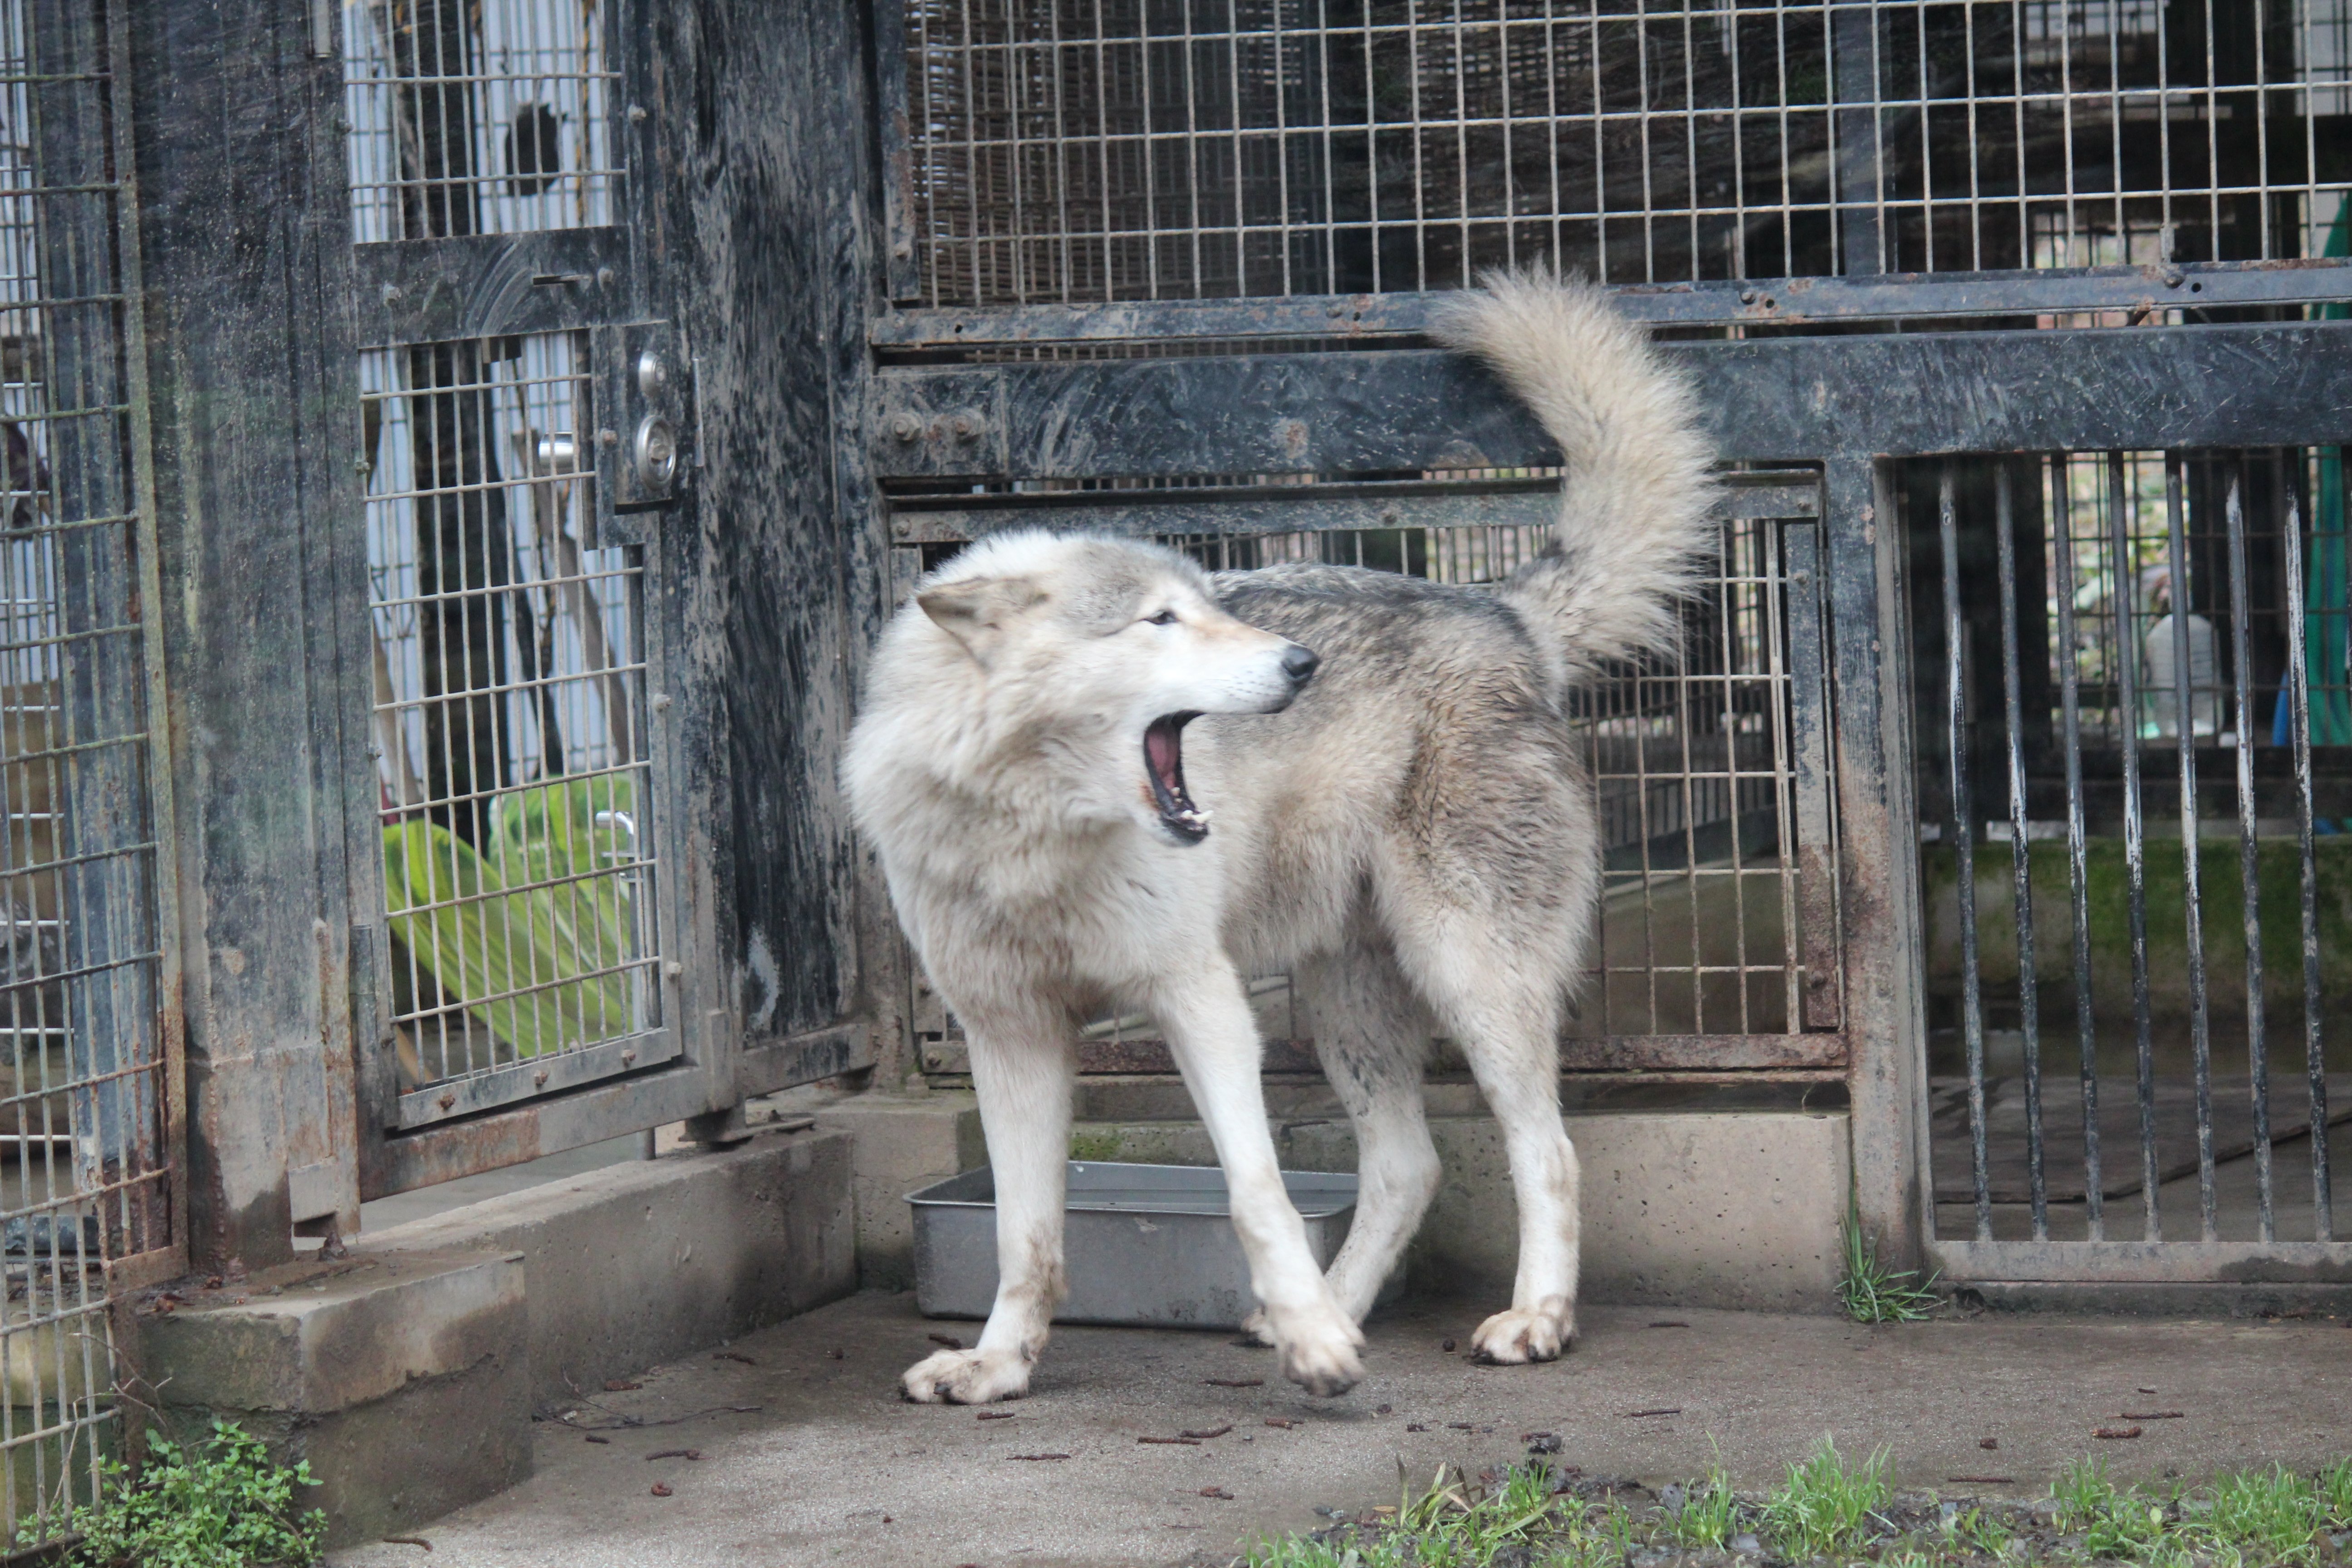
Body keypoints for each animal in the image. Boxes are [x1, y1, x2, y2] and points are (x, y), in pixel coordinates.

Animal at [843, 271, 1717, 1403]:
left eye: (1205, 606)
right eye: (1160, 621)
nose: (1302, 663)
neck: (1034, 837)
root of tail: (1504, 613)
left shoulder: (1202, 1002)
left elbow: (1254, 1190)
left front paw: (1317, 1346)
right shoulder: (1011, 1036)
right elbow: (1023, 1235)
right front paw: (997, 1365)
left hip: (1470, 976)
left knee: (1549, 1152)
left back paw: (1530, 1321)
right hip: (1351, 1012)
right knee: (1410, 1165)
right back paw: (1338, 1308)